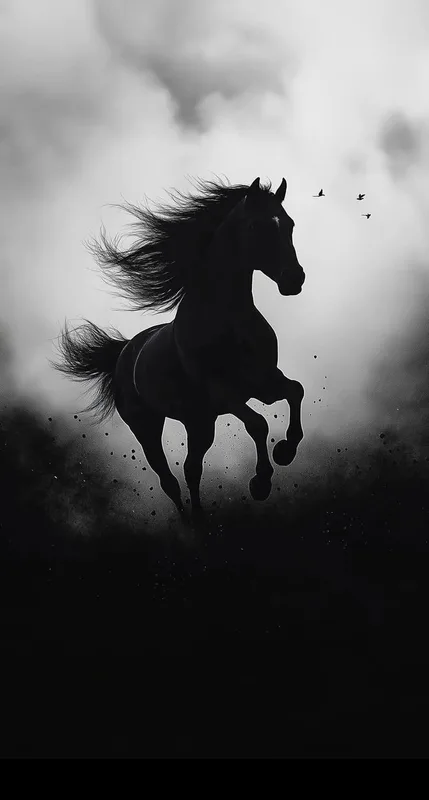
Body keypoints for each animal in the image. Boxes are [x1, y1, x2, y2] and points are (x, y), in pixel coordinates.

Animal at [54, 176, 306, 515]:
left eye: (289, 224)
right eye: (256, 225)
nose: (294, 279)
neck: (229, 321)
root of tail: (124, 351)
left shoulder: (263, 383)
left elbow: (295, 391)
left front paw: (286, 450)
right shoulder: (224, 392)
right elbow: (258, 424)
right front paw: (261, 482)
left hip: (199, 422)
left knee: (191, 469)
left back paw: (200, 516)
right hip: (147, 427)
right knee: (169, 479)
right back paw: (189, 520)